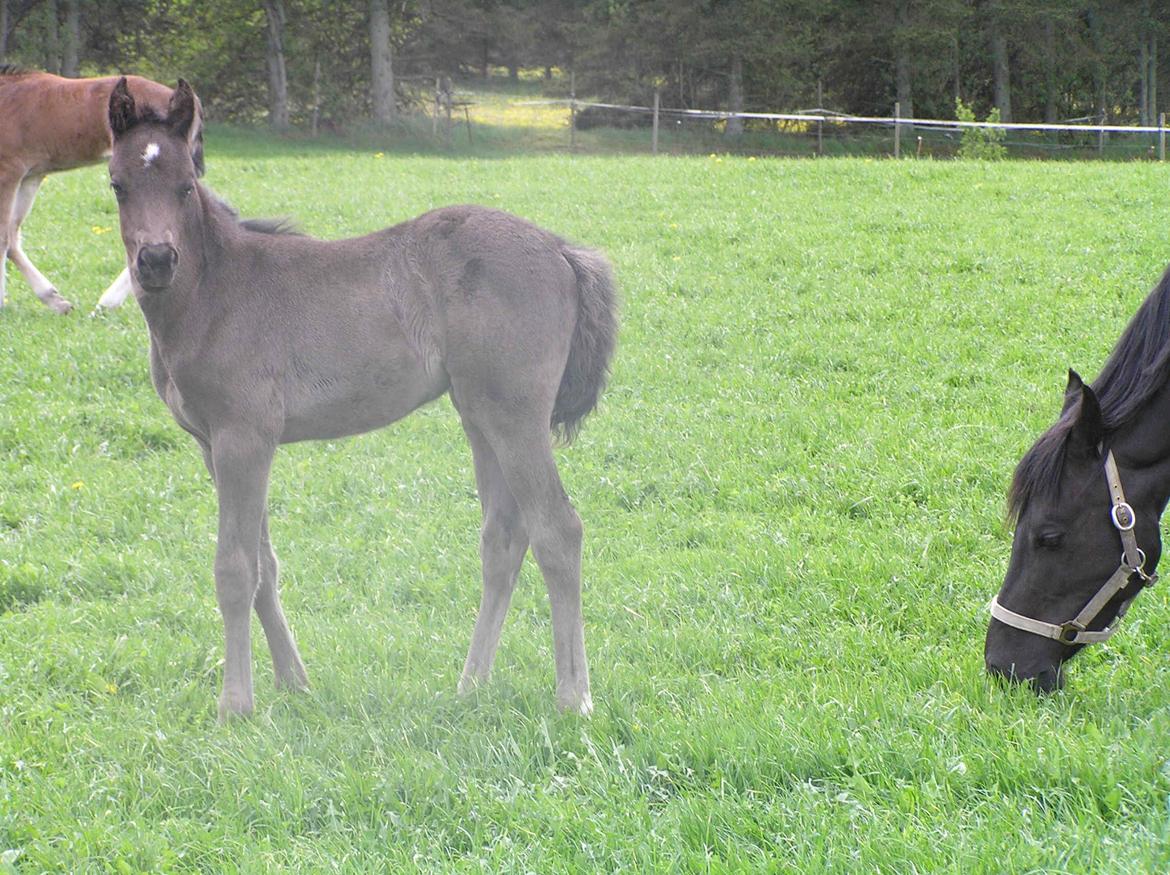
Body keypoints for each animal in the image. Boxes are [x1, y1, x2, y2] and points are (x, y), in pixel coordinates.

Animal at [0, 68, 203, 313]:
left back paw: (110, 300)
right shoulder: (29, 176)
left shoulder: (9, 171)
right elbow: (12, 237)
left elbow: (3, 237)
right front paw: (54, 300)